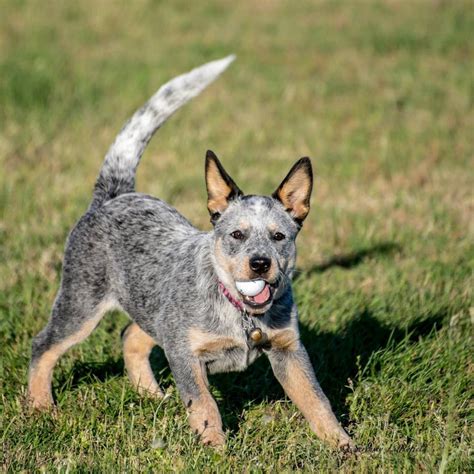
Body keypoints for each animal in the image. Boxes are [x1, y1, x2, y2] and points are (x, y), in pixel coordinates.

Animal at [27, 53, 354, 450]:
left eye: (279, 236)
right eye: (237, 234)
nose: (260, 264)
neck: (240, 313)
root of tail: (114, 194)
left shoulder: (288, 349)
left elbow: (317, 399)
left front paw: (345, 447)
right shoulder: (185, 353)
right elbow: (204, 405)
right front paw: (215, 451)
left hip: (151, 309)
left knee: (130, 335)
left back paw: (151, 395)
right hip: (82, 302)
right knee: (44, 345)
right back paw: (40, 407)